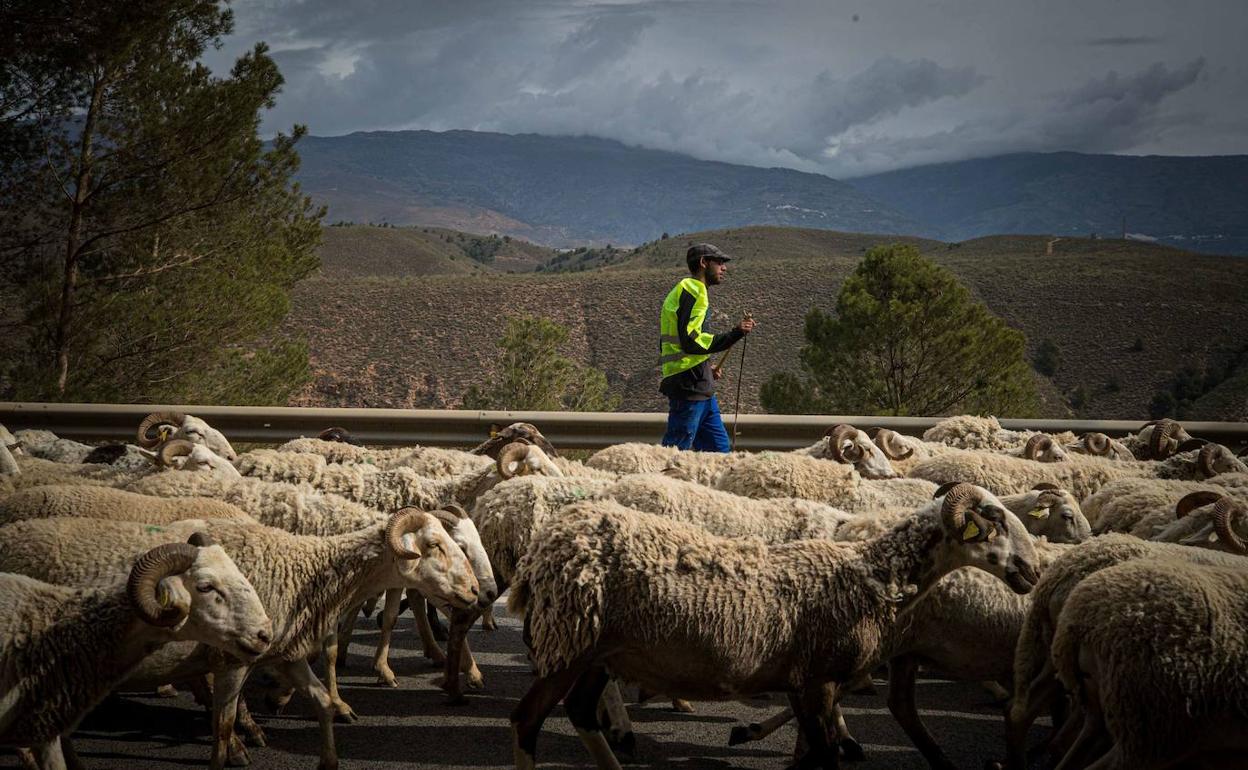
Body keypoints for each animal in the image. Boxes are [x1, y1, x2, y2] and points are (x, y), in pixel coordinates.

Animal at [506, 484, 1043, 763]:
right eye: (994, 521)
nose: (1033, 571)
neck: (871, 572)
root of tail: (546, 541)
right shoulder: (818, 680)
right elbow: (823, 758)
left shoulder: (802, 682)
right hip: (571, 640)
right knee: (527, 718)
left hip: (600, 650)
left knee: (579, 711)